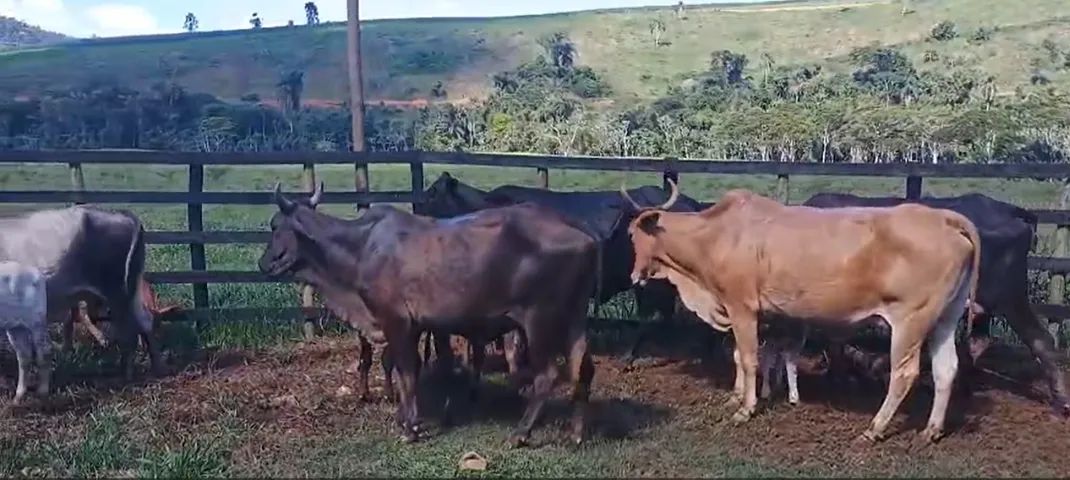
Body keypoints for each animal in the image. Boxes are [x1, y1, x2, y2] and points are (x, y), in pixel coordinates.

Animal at [0, 206, 163, 379]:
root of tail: (120, 215)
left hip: (118, 293)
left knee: (130, 329)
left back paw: (128, 372)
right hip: (130, 292)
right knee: (144, 321)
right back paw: (152, 367)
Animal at [0, 261, 50, 404]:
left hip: (37, 322)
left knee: (43, 353)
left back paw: (43, 391)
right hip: (16, 327)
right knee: (24, 356)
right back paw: (18, 396)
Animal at [259, 182, 600, 446]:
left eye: (275, 225)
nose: (264, 263)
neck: (360, 246)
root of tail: (581, 231)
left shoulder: (396, 321)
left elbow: (406, 371)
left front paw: (410, 427)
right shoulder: (414, 326)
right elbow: (405, 369)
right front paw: (404, 417)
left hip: (540, 318)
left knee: (547, 375)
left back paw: (521, 433)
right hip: (575, 317)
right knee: (583, 368)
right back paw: (576, 433)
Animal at [620, 181, 980, 443]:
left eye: (632, 234)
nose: (634, 276)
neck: (716, 236)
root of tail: (944, 218)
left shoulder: (742, 306)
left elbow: (749, 358)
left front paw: (746, 408)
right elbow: (739, 355)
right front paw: (736, 397)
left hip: (910, 320)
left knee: (904, 374)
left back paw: (874, 429)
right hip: (945, 318)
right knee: (946, 369)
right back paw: (931, 430)